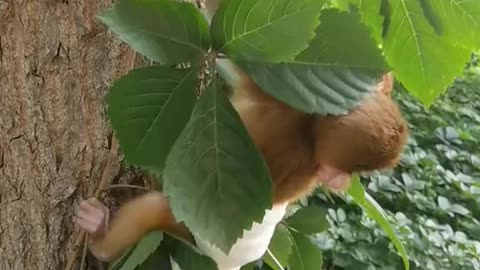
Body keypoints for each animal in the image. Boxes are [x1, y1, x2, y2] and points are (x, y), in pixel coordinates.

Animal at [76, 68, 408, 268]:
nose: (343, 181)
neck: (310, 132)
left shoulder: (279, 100)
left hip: (190, 228)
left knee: (150, 211)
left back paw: (100, 235)